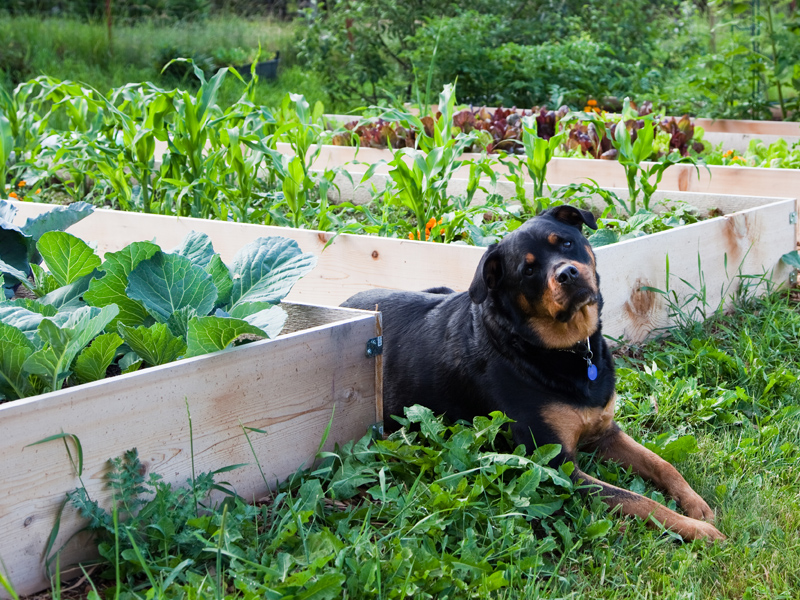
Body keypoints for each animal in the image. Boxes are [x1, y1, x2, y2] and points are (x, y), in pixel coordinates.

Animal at [342, 206, 724, 544]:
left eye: (566, 243)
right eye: (527, 271)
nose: (567, 273)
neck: (565, 350)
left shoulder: (605, 432)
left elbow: (662, 464)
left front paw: (696, 505)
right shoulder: (558, 466)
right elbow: (639, 500)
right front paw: (696, 529)